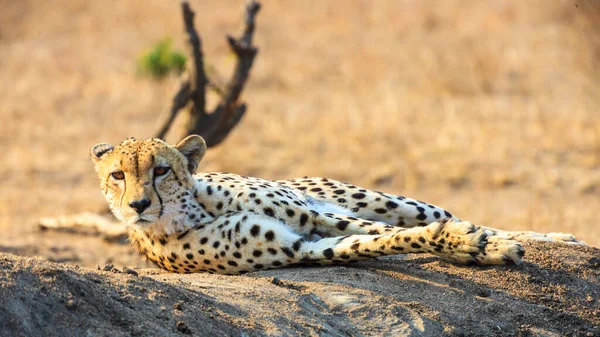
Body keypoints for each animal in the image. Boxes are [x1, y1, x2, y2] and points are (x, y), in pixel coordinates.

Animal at [89, 134, 580, 272]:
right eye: (118, 175)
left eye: (160, 170)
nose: (138, 205)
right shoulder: (300, 246)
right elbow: (379, 242)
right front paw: (472, 245)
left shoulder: (306, 214)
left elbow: (390, 232)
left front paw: (482, 243)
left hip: (368, 198)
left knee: (438, 212)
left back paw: (558, 238)